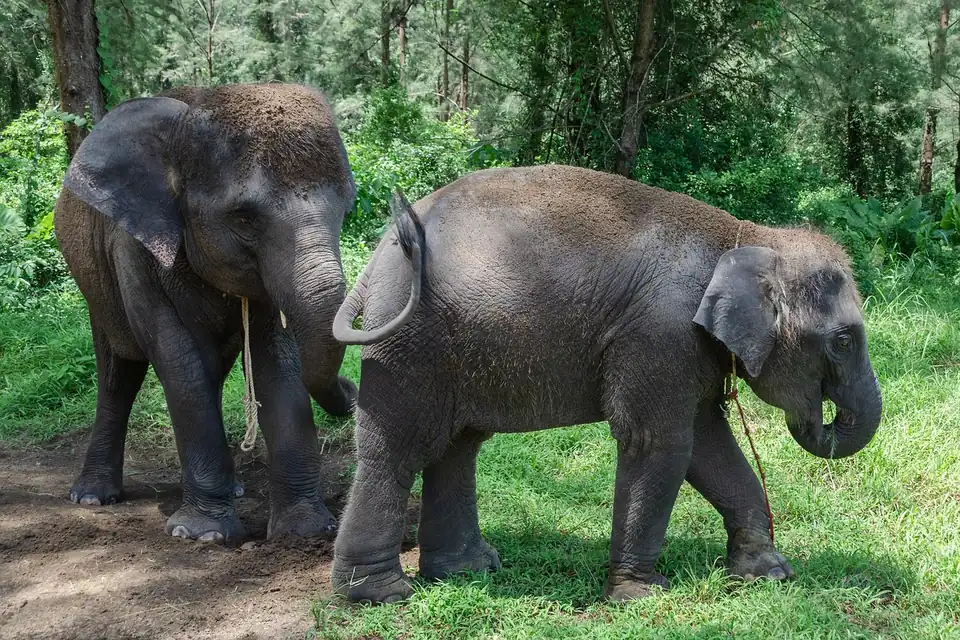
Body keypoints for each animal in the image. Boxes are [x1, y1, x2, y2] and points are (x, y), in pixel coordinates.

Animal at [54, 83, 358, 542]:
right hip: (95, 284)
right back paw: (91, 496)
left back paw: (234, 488)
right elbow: (176, 356)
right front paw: (202, 536)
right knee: (119, 371)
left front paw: (306, 531)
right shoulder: (134, 249)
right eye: (244, 218)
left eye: (346, 208)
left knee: (211, 369)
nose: (352, 387)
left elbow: (277, 359)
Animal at [328, 165, 882, 603]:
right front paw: (640, 596)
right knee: (399, 449)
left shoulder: (683, 347)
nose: (820, 417)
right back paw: (383, 596)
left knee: (458, 445)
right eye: (843, 341)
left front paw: (769, 574)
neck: (742, 237)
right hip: (408, 345)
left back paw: (467, 571)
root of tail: (378, 259)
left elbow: (706, 443)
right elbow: (658, 442)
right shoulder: (660, 333)